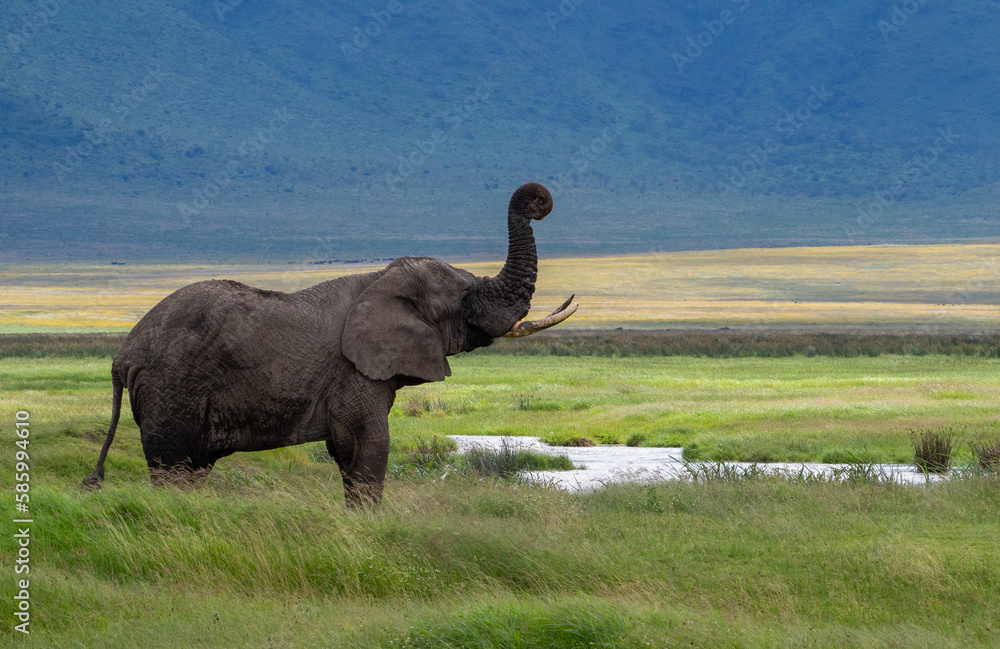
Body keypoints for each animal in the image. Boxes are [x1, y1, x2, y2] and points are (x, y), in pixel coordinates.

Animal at [83, 182, 580, 506]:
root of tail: (122, 354)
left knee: (192, 469)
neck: (380, 279)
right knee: (173, 468)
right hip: (172, 388)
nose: (538, 201)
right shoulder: (355, 371)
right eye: (465, 297)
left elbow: (346, 453)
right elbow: (368, 447)